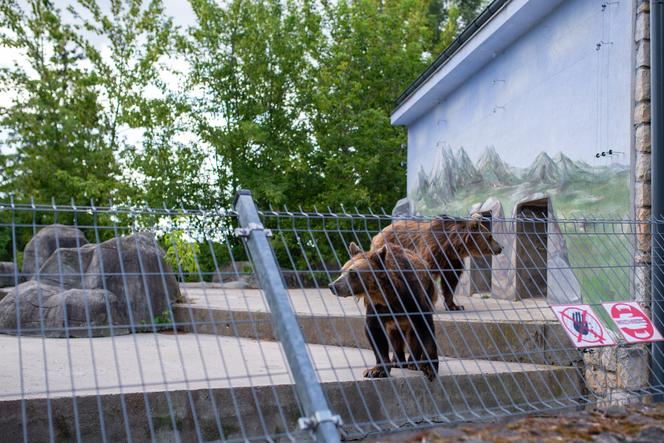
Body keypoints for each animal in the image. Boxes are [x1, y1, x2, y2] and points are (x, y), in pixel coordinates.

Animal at [330, 243, 438, 382]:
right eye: (342, 270)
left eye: (353, 273)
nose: (333, 286)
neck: (386, 294)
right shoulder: (377, 306)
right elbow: (375, 332)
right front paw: (376, 370)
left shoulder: (411, 297)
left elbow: (424, 325)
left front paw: (430, 368)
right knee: (394, 333)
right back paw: (397, 360)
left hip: (429, 291)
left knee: (414, 333)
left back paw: (413, 363)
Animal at [368, 217, 504, 310]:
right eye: (490, 236)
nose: (500, 247)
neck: (452, 245)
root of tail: (378, 233)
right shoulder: (433, 250)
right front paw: (427, 302)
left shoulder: (452, 260)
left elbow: (450, 280)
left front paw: (454, 305)